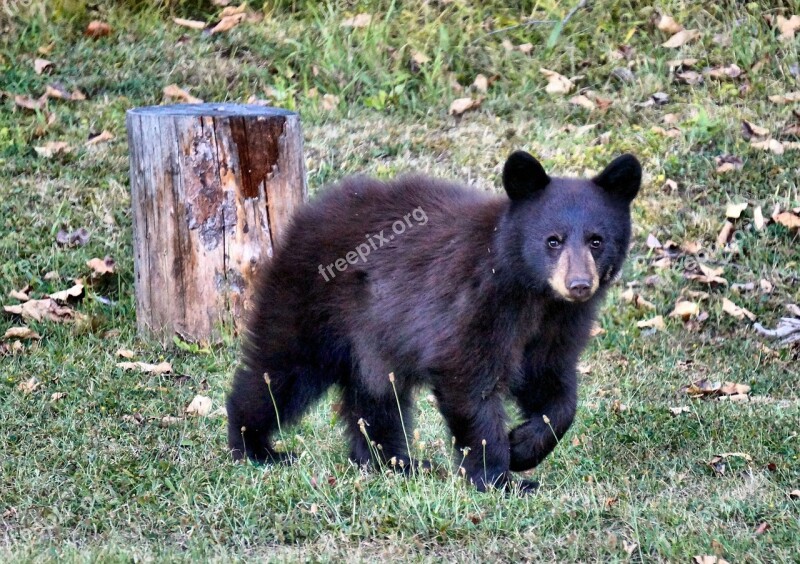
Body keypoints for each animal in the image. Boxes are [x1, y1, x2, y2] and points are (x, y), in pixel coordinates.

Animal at [228, 151, 640, 494]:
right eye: (553, 241)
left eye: (597, 240)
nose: (579, 285)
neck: (534, 296)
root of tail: (305, 214)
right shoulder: (475, 302)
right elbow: (468, 380)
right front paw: (500, 478)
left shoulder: (559, 325)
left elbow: (553, 386)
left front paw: (523, 447)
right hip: (312, 303)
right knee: (279, 370)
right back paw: (255, 447)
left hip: (372, 336)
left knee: (375, 395)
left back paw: (395, 462)